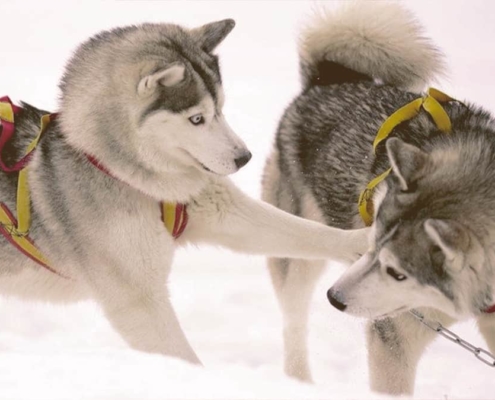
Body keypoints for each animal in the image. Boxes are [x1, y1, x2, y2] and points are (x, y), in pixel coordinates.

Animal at [0, 20, 368, 364]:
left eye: (220, 109)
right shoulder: (138, 301)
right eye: (196, 119)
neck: (127, 174)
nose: (244, 157)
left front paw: (362, 242)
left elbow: (302, 230)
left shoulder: (218, 209)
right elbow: (182, 356)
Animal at [264, 2, 495, 396]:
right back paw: (298, 383)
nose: (335, 298)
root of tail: (329, 79)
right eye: (372, 246)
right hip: (300, 249)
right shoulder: (395, 333)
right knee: (293, 323)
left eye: (397, 272)